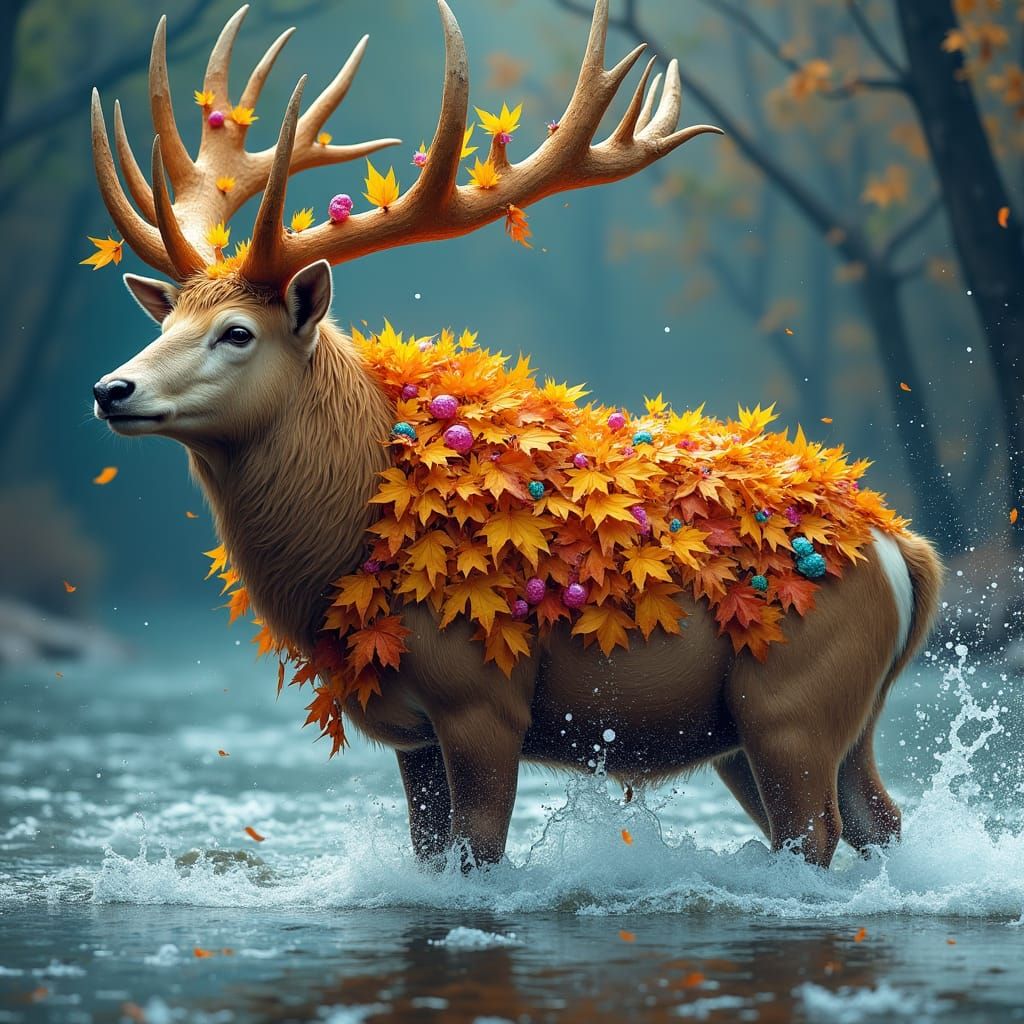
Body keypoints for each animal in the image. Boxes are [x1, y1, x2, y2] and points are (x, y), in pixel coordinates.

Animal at [89, 0, 941, 870]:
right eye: (167, 322)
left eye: (236, 333)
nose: (111, 390)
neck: (354, 529)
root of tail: (901, 548)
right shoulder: (412, 733)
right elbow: (433, 856)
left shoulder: (481, 697)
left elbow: (481, 852)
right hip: (795, 722)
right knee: (878, 821)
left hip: (791, 698)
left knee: (815, 833)